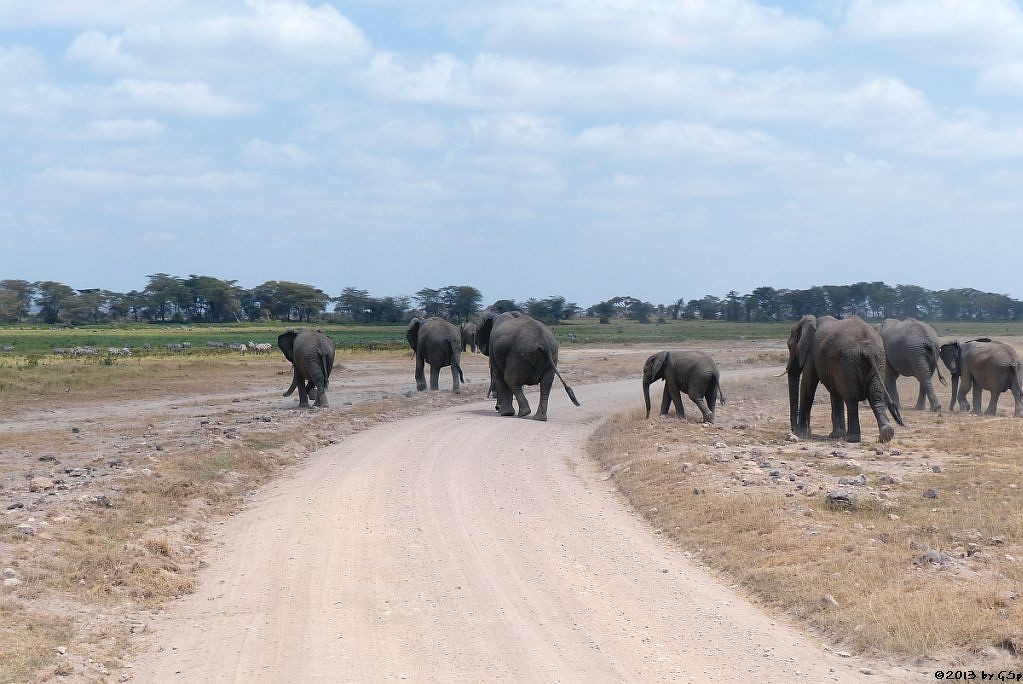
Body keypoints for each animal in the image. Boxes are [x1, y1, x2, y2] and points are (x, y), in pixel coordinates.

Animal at [785, 314, 900, 443]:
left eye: (789, 347)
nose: (793, 430)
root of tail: (867, 348)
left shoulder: (811, 354)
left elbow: (807, 386)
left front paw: (801, 434)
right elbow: (834, 392)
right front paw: (836, 435)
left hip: (847, 361)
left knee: (851, 398)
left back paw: (852, 438)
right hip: (877, 360)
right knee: (875, 395)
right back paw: (886, 433)